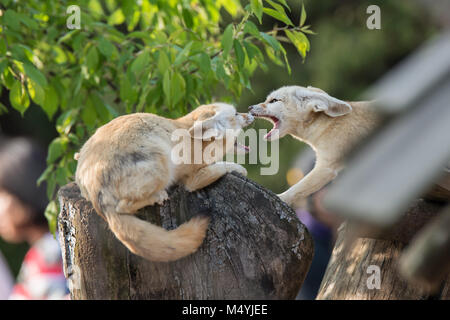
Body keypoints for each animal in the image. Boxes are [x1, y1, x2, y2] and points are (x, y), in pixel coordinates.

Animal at [75, 104, 255, 262]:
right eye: (236, 114)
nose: (251, 113)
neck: (196, 142)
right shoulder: (192, 179)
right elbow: (225, 166)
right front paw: (239, 169)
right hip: (162, 165)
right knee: (123, 207)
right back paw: (157, 196)